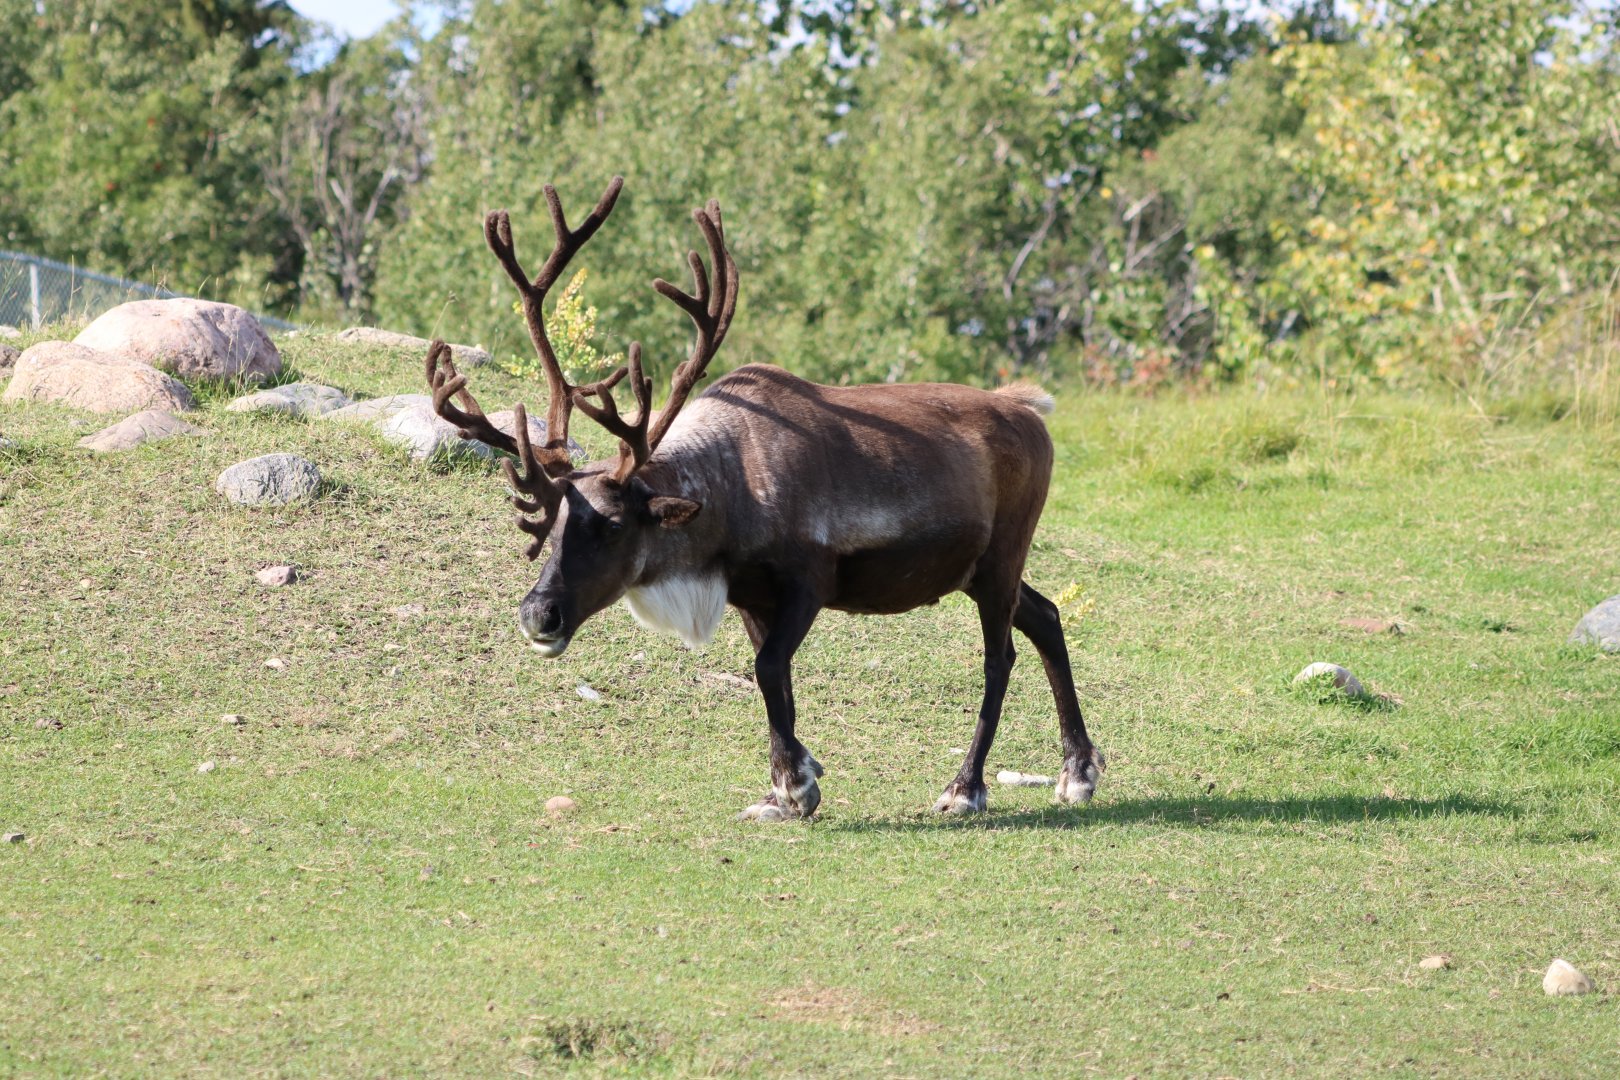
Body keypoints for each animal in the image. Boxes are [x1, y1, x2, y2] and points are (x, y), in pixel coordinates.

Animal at [424, 175, 1105, 821]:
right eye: (550, 521)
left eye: (614, 525)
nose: (538, 615)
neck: (731, 492)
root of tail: (1028, 409)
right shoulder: (750, 593)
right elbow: (773, 679)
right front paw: (784, 785)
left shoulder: (809, 578)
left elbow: (770, 669)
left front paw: (798, 784)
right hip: (975, 567)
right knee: (1046, 616)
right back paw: (1079, 771)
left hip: (1002, 555)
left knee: (1001, 656)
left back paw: (966, 787)